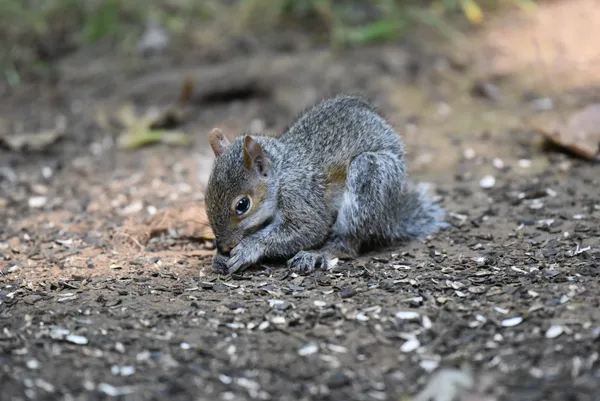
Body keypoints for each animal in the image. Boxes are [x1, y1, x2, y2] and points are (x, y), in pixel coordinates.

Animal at [204, 94, 442, 276]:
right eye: (205, 197)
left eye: (242, 205)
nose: (223, 245)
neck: (281, 174)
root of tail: (392, 216)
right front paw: (219, 258)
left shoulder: (300, 195)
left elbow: (310, 228)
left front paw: (248, 249)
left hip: (370, 177)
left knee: (348, 243)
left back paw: (317, 254)